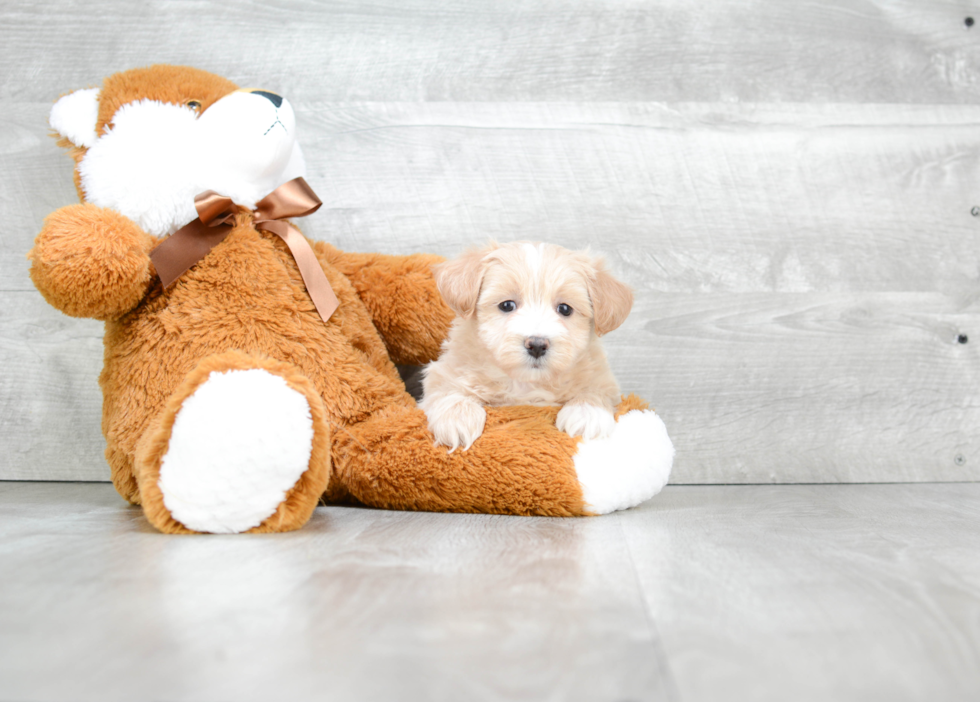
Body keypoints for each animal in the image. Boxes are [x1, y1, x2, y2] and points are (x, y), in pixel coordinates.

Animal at [422, 242, 636, 452]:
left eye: (565, 309)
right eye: (507, 305)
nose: (537, 345)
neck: (526, 383)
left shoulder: (602, 378)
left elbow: (596, 389)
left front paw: (586, 413)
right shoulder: (447, 369)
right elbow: (448, 388)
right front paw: (457, 418)